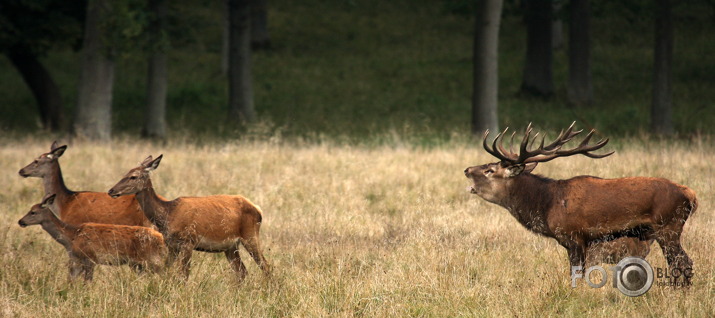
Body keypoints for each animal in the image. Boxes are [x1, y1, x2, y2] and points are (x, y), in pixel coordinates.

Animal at [18, 194, 167, 280]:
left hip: (151, 258)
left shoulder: (90, 257)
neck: (71, 238)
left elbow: (87, 281)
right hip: (140, 263)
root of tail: (161, 238)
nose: (20, 221)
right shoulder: (76, 259)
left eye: (33, 212)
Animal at [107, 155, 272, 280]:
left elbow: (184, 275)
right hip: (231, 246)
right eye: (124, 174)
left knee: (266, 266)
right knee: (242, 272)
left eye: (133, 176)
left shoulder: (188, 241)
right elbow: (167, 270)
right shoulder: (171, 245)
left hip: (250, 235)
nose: (111, 190)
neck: (168, 214)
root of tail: (258, 209)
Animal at [462, 123, 696, 282]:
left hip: (668, 227)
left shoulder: (575, 236)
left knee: (683, 262)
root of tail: (691, 196)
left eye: (489, 170)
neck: (547, 205)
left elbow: (576, 275)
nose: (466, 169)